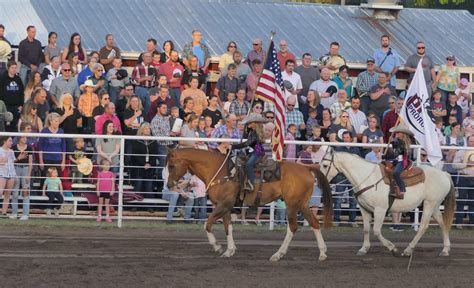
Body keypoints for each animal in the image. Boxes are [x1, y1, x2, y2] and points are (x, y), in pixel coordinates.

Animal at [167, 148, 334, 260]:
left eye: (171, 166)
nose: (169, 185)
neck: (220, 171)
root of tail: (307, 168)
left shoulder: (224, 205)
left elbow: (207, 224)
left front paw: (217, 246)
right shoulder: (225, 207)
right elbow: (228, 227)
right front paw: (229, 250)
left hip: (292, 205)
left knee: (293, 227)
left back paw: (277, 254)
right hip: (303, 204)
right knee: (314, 223)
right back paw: (322, 253)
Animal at [318, 146, 456, 256]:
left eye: (325, 165)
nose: (319, 184)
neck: (366, 178)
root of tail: (445, 174)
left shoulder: (380, 210)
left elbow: (376, 231)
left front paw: (392, 248)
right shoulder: (364, 209)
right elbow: (366, 229)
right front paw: (363, 249)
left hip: (429, 204)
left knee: (423, 226)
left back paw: (408, 250)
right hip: (435, 206)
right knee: (443, 223)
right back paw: (445, 249)